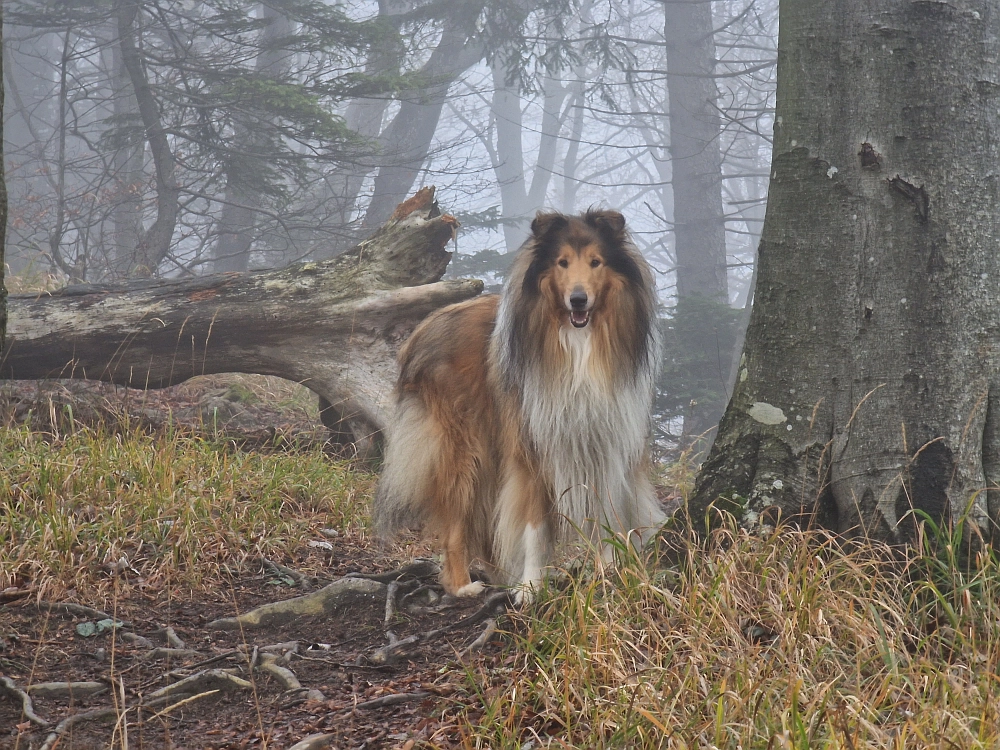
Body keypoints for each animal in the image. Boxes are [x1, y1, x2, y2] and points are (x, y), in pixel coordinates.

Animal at [372, 209, 660, 604]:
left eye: (596, 262)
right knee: (456, 522)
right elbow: (533, 526)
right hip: (464, 449)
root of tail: (421, 330)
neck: (578, 346)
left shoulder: (608, 444)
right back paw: (462, 584)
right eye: (562, 262)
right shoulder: (532, 447)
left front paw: (610, 572)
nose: (578, 300)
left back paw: (498, 576)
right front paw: (530, 588)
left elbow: (608, 514)